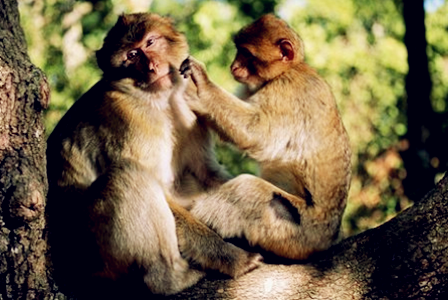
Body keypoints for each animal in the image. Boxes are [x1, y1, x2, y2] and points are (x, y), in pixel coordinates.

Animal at [44, 12, 262, 298]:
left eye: (150, 42)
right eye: (132, 55)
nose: (152, 67)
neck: (158, 99)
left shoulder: (189, 110)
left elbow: (206, 172)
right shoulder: (125, 119)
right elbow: (161, 189)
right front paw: (232, 257)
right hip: (92, 256)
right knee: (127, 174)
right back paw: (170, 278)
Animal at [180, 14, 352, 260]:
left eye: (247, 54)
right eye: (238, 50)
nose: (233, 66)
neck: (287, 70)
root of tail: (330, 239)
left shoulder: (286, 91)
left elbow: (257, 134)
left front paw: (201, 87)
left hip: (297, 233)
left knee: (248, 190)